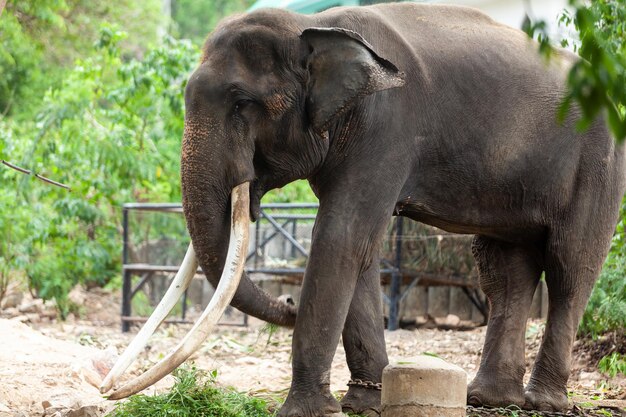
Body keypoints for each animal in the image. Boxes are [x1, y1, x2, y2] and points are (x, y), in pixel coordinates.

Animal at [101, 3, 624, 416]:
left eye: (242, 103)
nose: (288, 302)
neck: (312, 27)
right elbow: (363, 250)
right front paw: (365, 404)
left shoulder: (387, 125)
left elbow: (340, 235)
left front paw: (308, 411)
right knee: (503, 270)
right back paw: (489, 400)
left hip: (599, 163)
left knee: (570, 266)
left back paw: (543, 403)